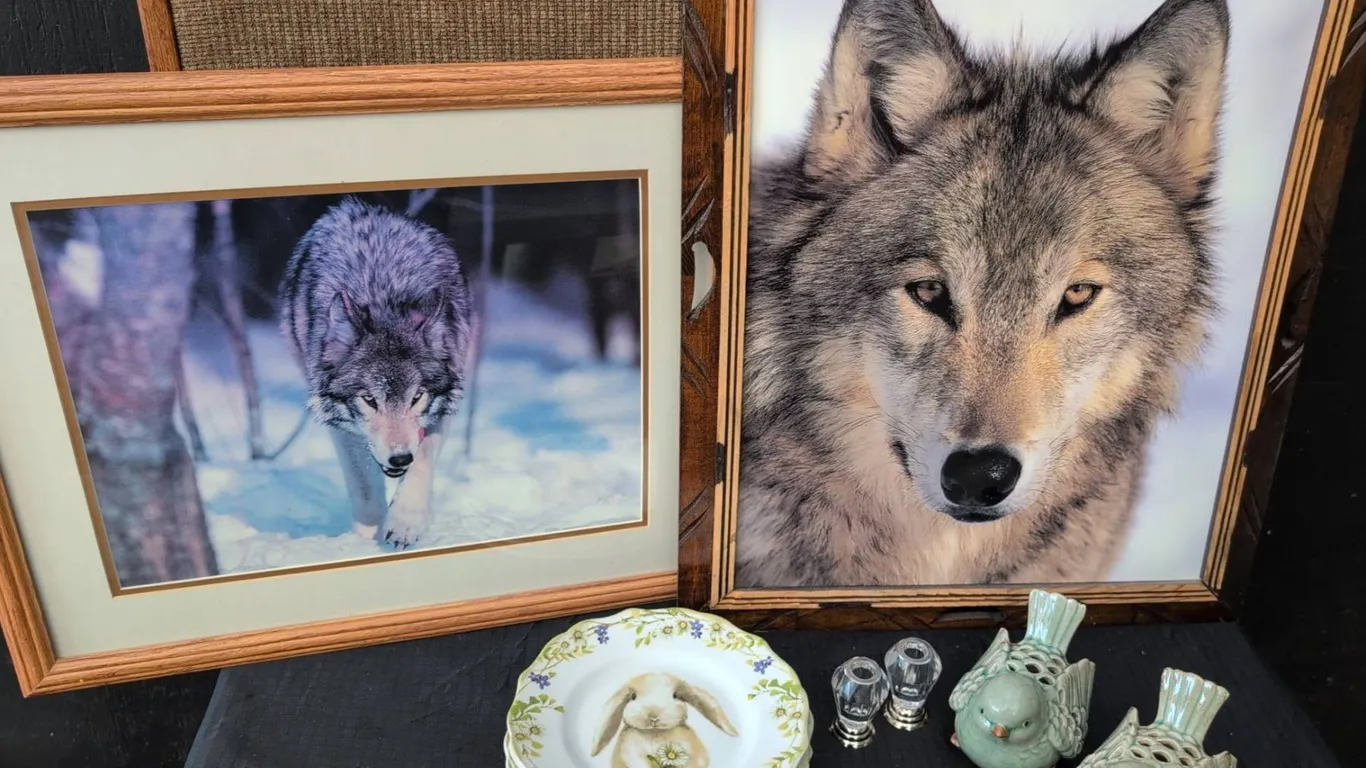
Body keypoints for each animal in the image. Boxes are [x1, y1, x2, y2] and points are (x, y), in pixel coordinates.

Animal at [280, 197, 476, 550]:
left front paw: (404, 523)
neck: (384, 299)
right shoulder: (342, 428)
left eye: (416, 397)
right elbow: (364, 489)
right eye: (370, 399)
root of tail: (359, 207)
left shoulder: (441, 408)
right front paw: (364, 540)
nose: (399, 459)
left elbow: (423, 460)